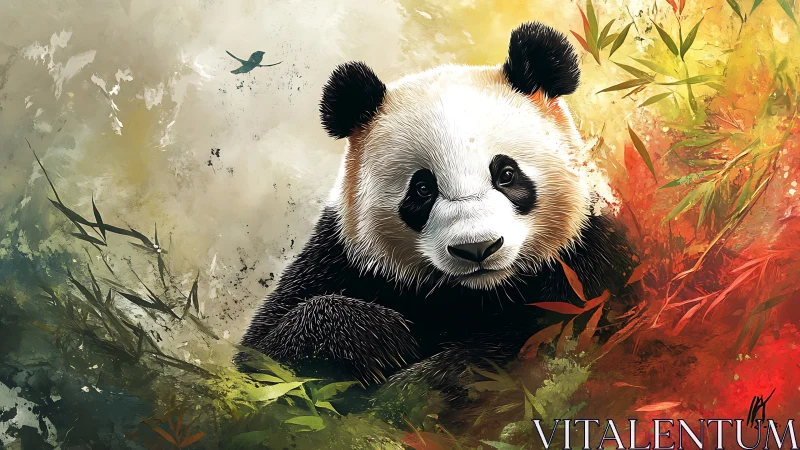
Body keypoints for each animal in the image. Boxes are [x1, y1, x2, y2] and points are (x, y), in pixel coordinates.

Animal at [238, 22, 637, 405]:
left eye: (506, 174)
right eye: (422, 189)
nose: (477, 248)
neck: (477, 294)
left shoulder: (588, 260)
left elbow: (541, 341)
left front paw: (417, 385)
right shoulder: (341, 260)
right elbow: (262, 361)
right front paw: (382, 340)